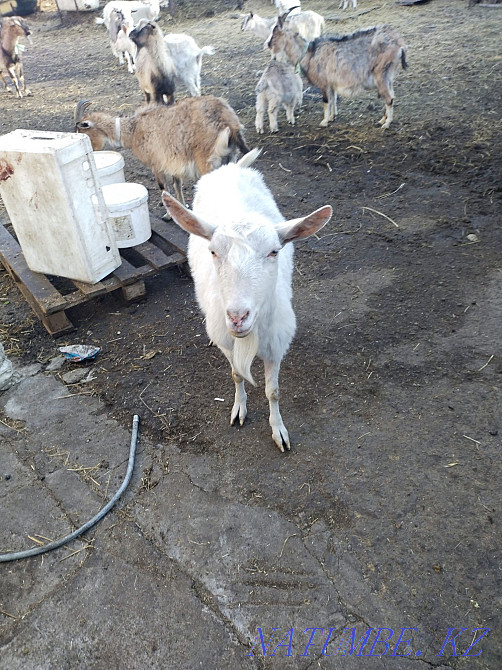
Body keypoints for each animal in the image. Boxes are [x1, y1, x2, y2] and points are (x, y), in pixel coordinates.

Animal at [74, 96, 250, 206]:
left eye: (81, 132)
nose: (89, 153)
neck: (134, 130)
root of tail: (229, 122)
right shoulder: (173, 162)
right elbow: (177, 184)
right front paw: (182, 206)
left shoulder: (156, 164)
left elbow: (163, 188)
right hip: (230, 157)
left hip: (207, 161)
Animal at [161, 151, 332, 452]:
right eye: (213, 251)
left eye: (274, 251)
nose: (237, 318)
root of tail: (231, 167)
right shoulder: (228, 342)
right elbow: (237, 375)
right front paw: (239, 409)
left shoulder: (275, 344)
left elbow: (273, 391)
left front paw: (278, 430)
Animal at [267, 22, 407, 129]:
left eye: (274, 35)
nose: (268, 45)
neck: (310, 53)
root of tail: (400, 44)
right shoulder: (331, 83)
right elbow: (333, 99)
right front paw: (332, 117)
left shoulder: (324, 82)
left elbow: (325, 101)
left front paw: (324, 122)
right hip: (388, 76)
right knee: (390, 96)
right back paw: (382, 120)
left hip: (381, 74)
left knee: (389, 98)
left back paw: (386, 124)